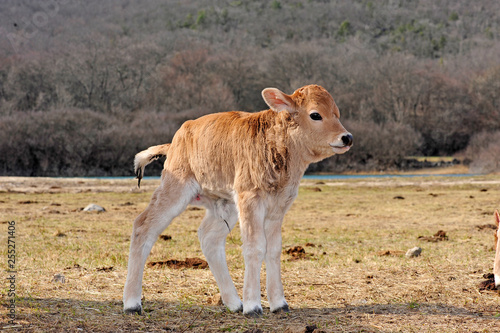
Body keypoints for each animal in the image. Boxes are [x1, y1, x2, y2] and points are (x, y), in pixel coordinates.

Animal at [123, 84, 354, 316]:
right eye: (315, 115)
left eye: (337, 113)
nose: (347, 137)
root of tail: (175, 140)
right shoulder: (250, 199)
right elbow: (255, 247)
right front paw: (253, 305)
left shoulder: (278, 207)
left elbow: (274, 250)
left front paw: (279, 303)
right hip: (175, 190)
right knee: (143, 226)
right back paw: (132, 303)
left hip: (225, 205)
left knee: (209, 238)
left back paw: (234, 302)